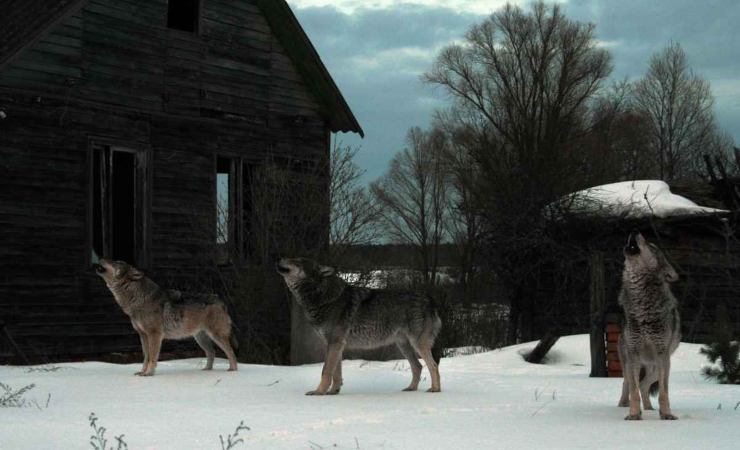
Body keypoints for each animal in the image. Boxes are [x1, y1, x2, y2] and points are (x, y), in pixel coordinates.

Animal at [92, 258, 237, 374]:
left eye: (116, 262)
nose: (101, 258)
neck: (138, 299)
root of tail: (220, 300)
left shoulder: (154, 335)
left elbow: (152, 357)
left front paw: (149, 374)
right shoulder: (143, 335)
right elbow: (146, 357)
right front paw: (142, 373)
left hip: (216, 336)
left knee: (231, 352)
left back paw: (232, 371)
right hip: (201, 338)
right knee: (211, 353)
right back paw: (207, 370)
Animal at [276, 256, 440, 394]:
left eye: (298, 261)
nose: (280, 258)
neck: (324, 297)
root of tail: (430, 299)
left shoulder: (335, 343)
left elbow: (326, 371)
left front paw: (318, 392)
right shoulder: (336, 345)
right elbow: (336, 373)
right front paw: (333, 392)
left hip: (417, 344)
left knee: (433, 365)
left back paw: (435, 389)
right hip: (404, 346)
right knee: (418, 366)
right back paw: (411, 388)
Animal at [616, 234, 680, 420]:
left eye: (652, 247)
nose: (635, 232)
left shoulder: (662, 355)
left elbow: (664, 392)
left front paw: (666, 414)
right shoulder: (634, 354)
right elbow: (633, 391)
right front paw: (633, 415)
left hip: (657, 366)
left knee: (644, 385)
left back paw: (650, 408)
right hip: (629, 362)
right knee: (628, 383)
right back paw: (623, 404)